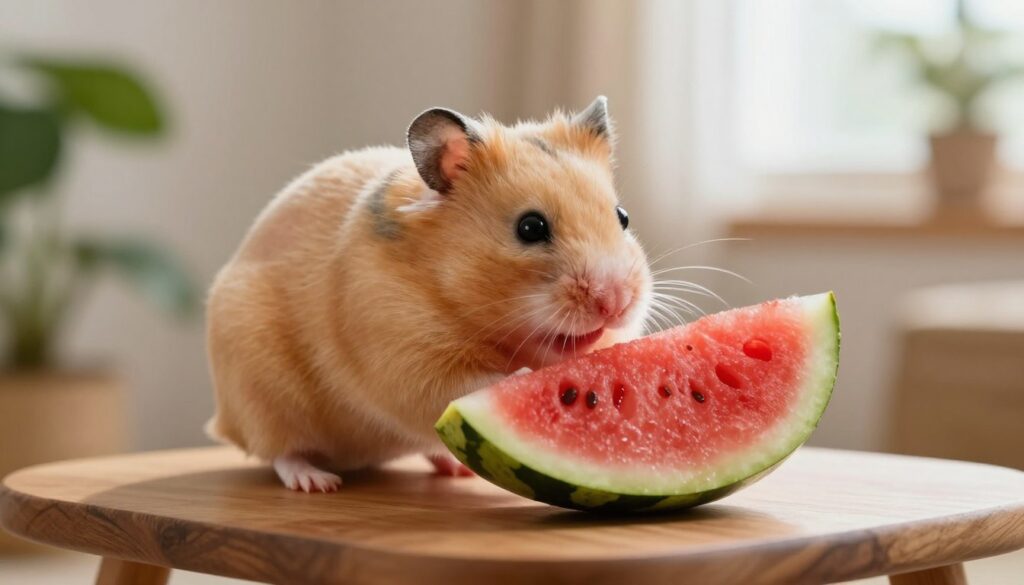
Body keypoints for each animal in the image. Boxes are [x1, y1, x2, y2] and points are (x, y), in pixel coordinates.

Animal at [205, 96, 652, 492]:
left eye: (623, 217)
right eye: (530, 228)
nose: (615, 302)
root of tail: (223, 419)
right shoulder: (404, 356)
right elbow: (459, 384)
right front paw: (522, 378)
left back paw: (458, 470)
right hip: (262, 394)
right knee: (282, 451)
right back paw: (317, 482)